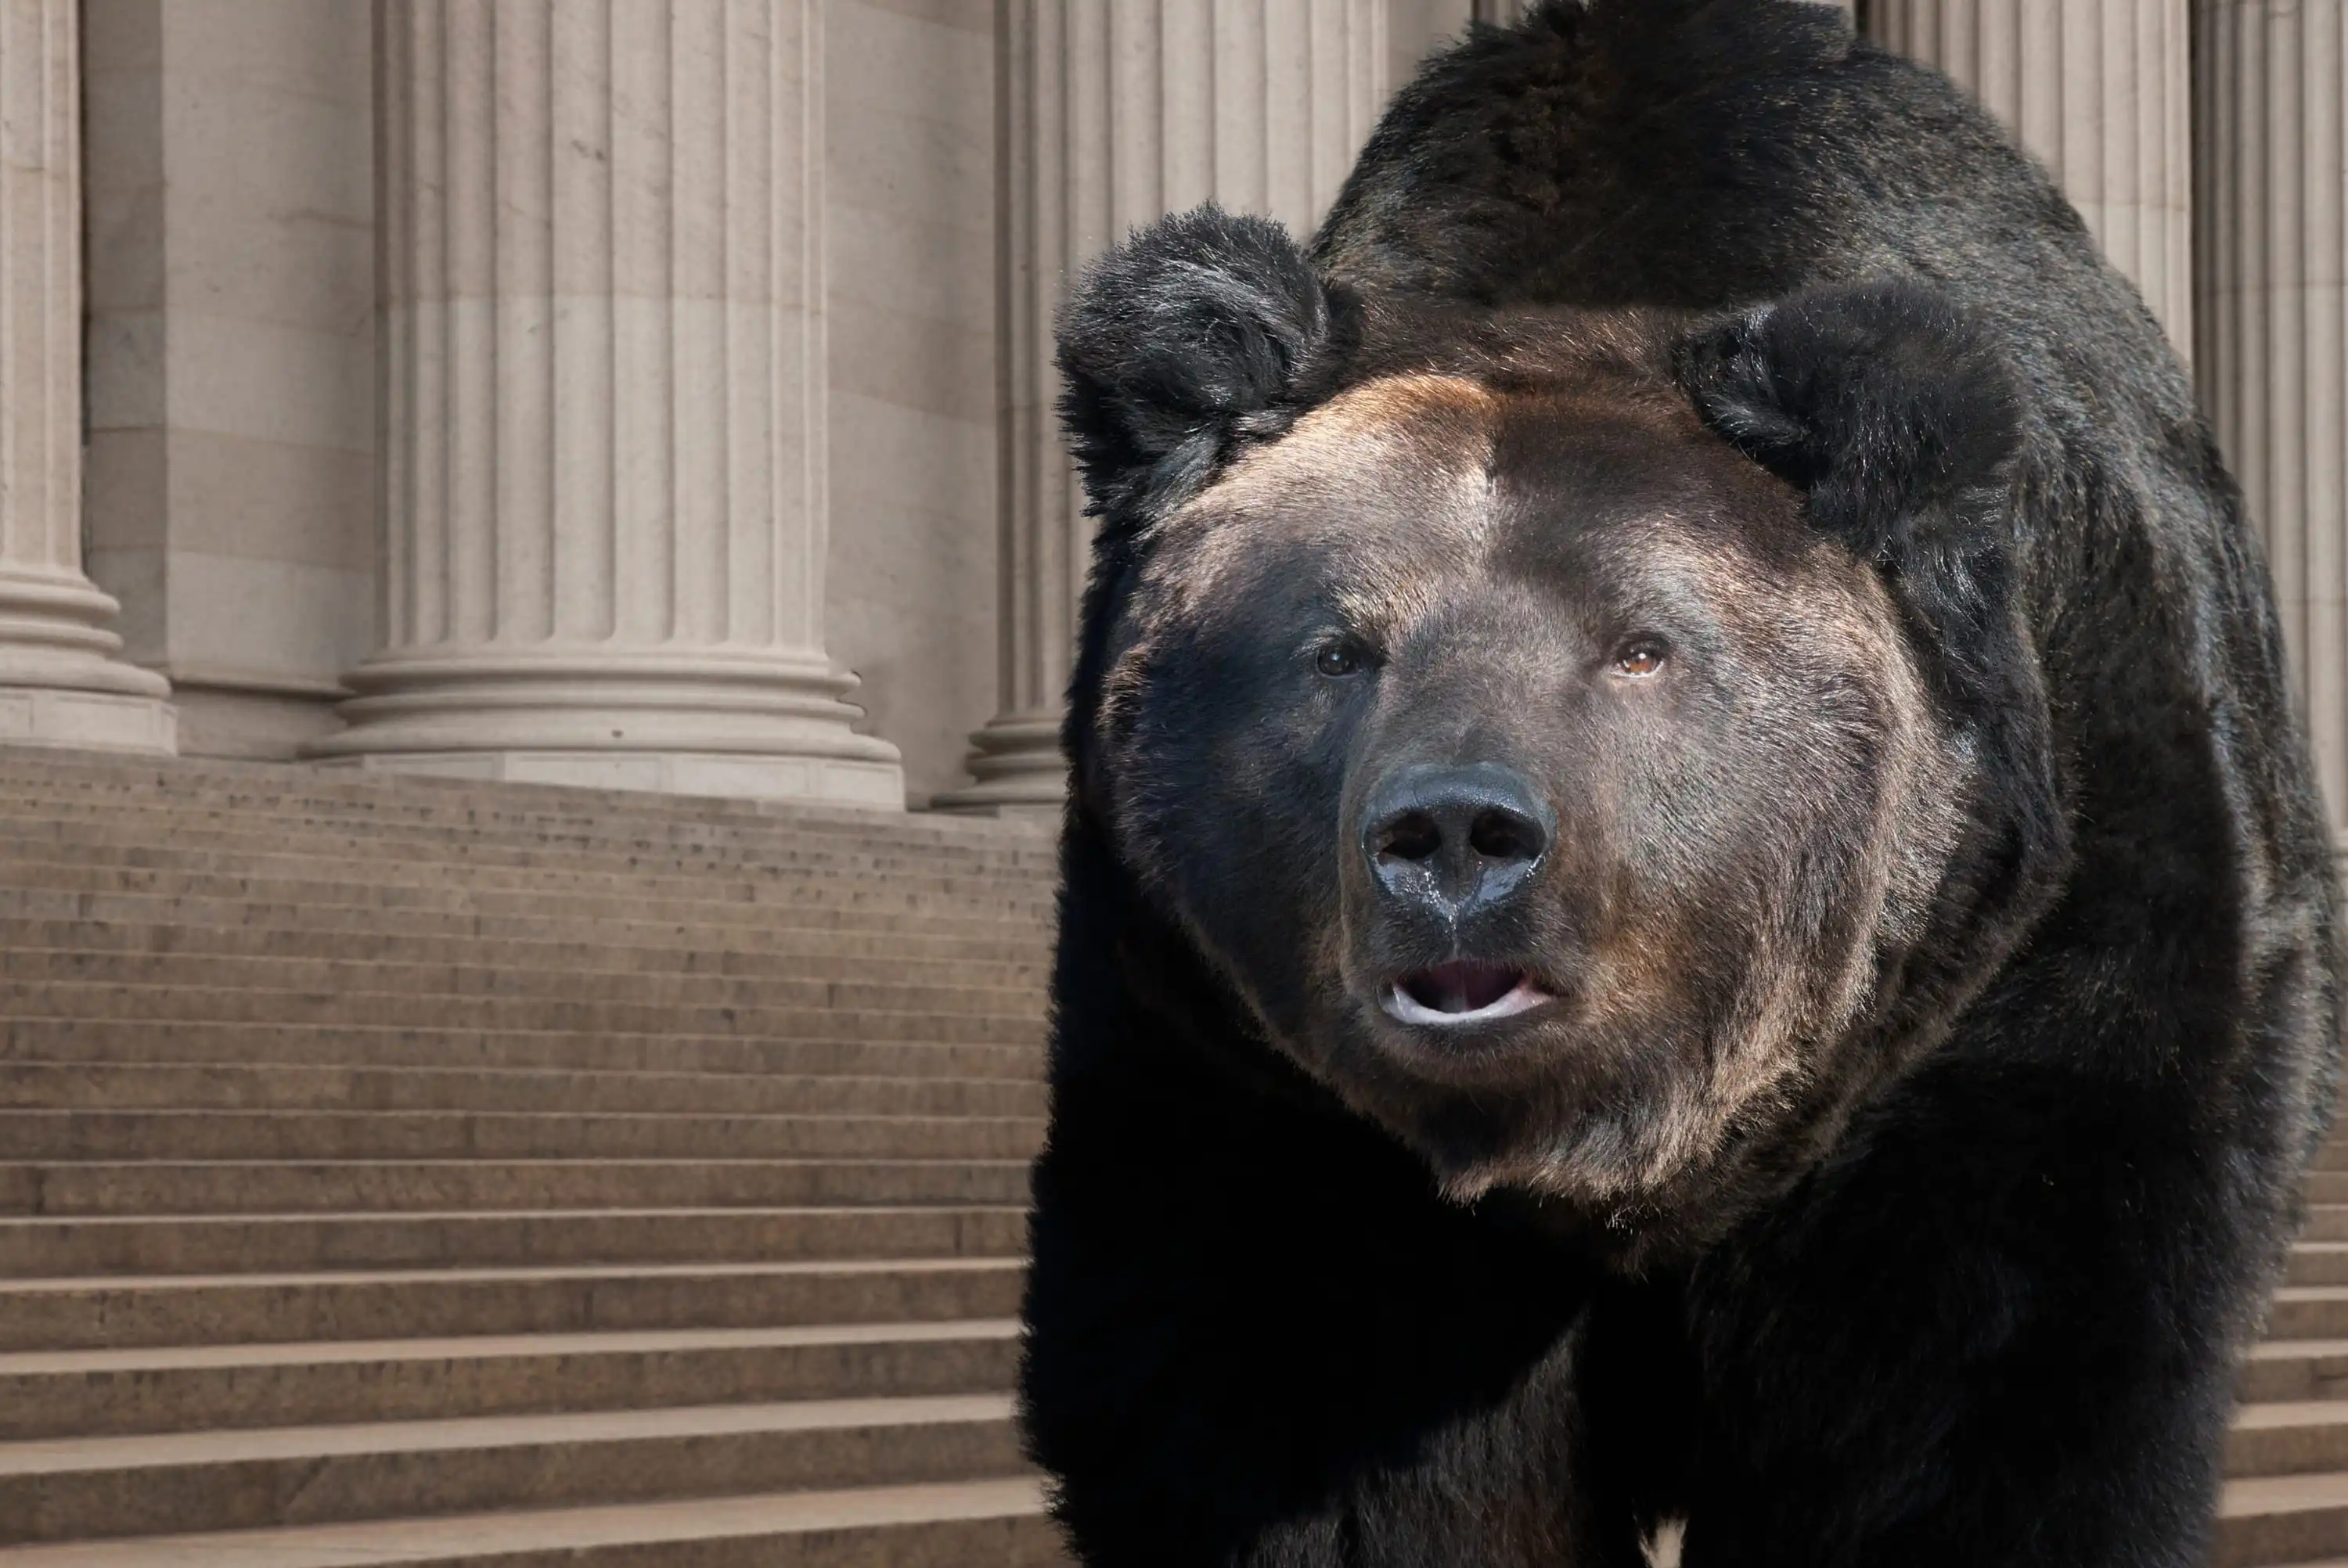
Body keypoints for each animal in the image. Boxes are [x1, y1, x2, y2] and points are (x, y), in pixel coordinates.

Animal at [1018, 3, 2341, 1566]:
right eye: (1337, 645)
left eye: (1641, 645)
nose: (1457, 834)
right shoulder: (1248, 1080)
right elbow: (1317, 1431)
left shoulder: (2032, 978)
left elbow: (1983, 1397)